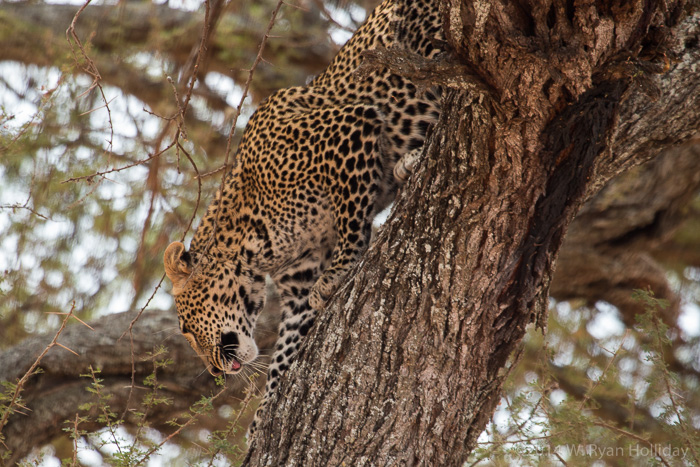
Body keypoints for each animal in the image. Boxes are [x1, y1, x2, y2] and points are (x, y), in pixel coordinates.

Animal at [163, 0, 444, 438]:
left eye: (187, 329)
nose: (213, 372)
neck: (253, 251)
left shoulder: (349, 131)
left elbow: (351, 218)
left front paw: (339, 271)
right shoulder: (297, 285)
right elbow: (287, 347)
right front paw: (264, 413)